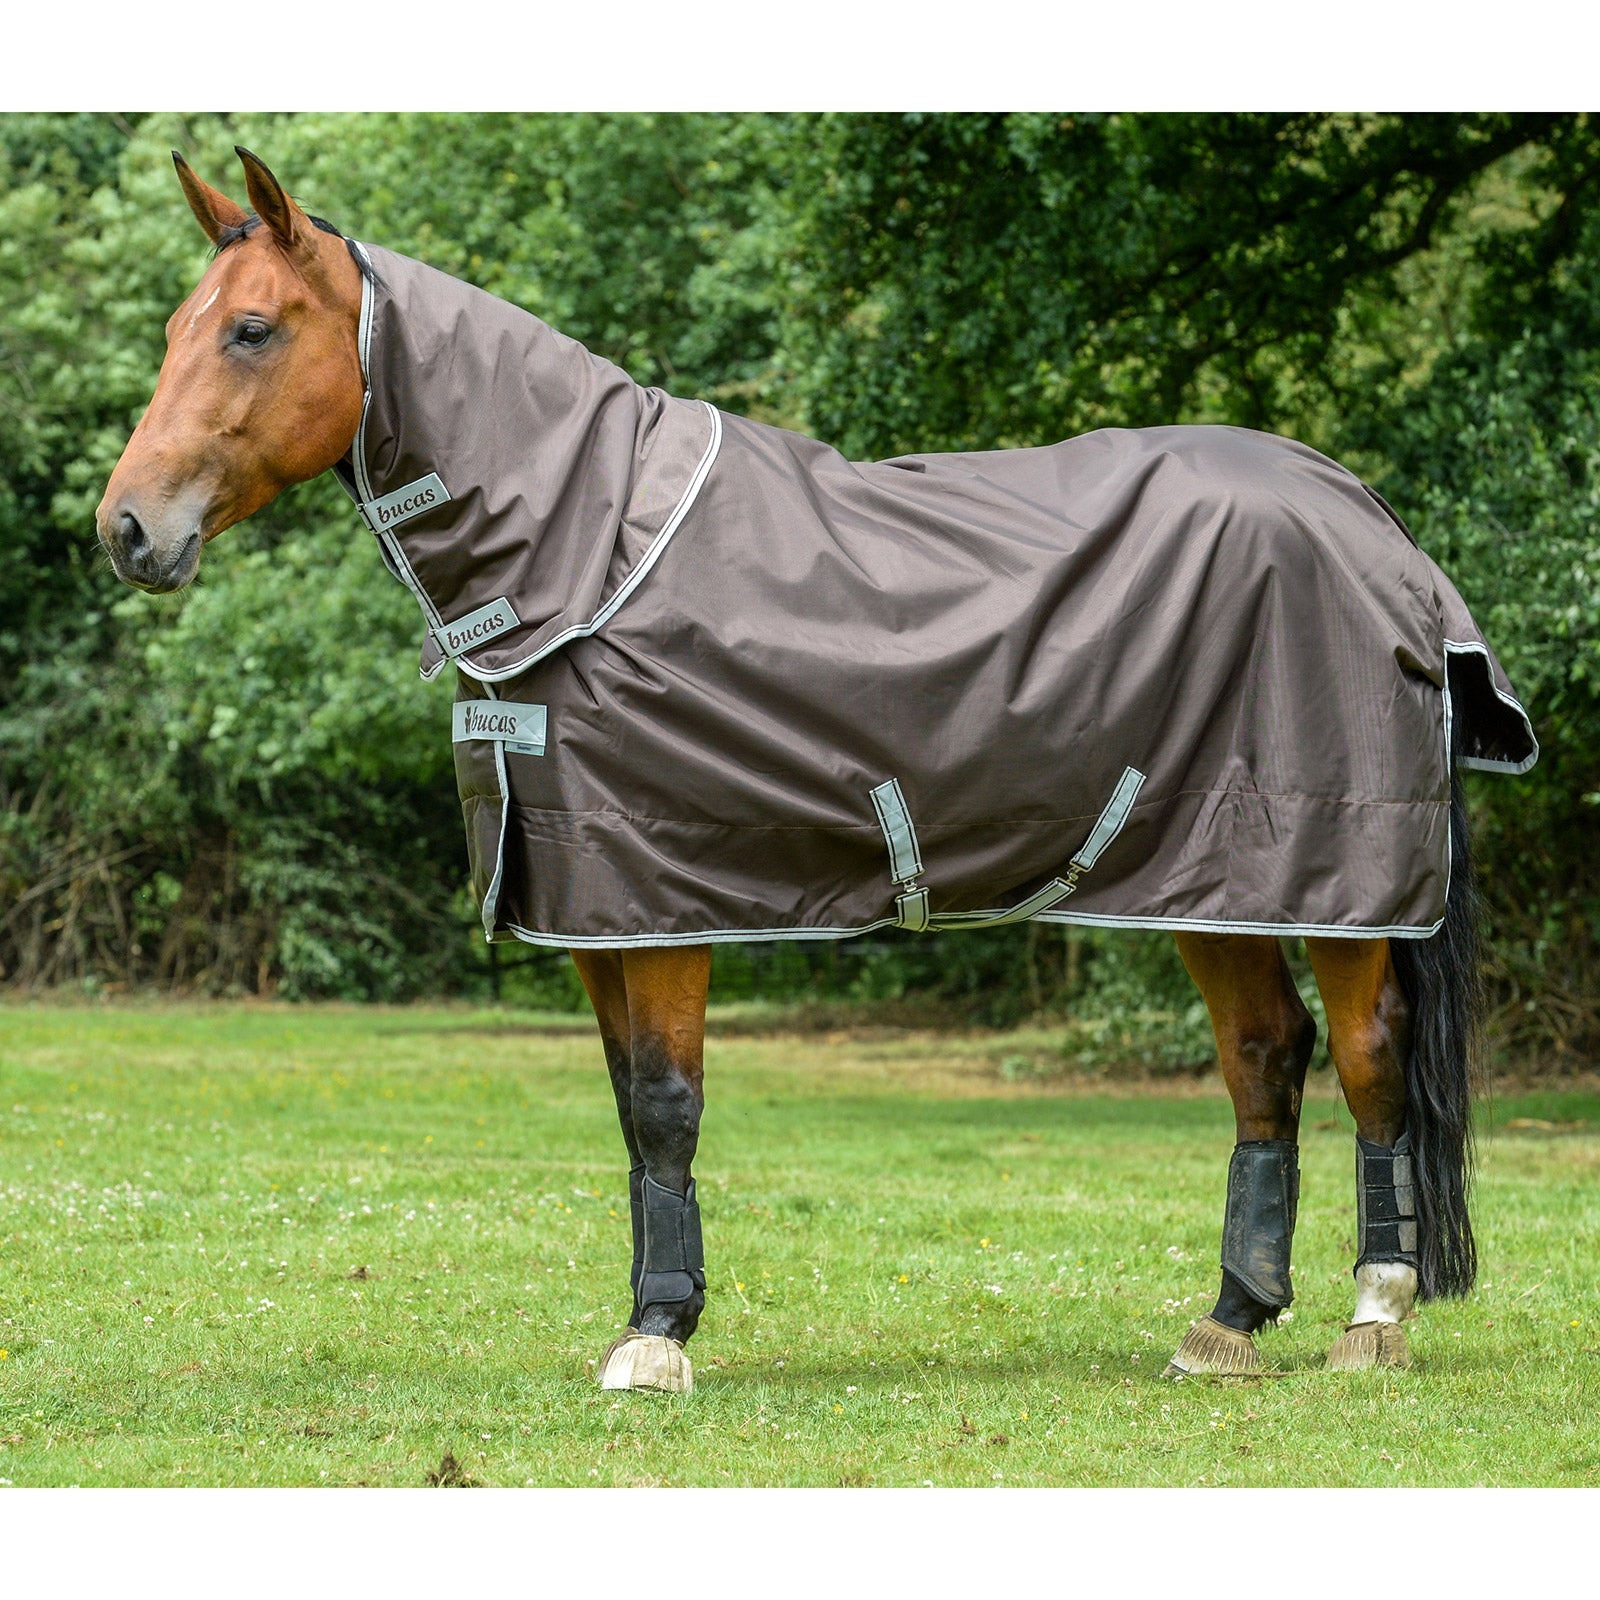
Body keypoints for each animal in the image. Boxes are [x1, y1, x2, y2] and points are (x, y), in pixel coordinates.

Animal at [97, 148, 1535, 1395]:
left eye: (251, 330)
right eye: (179, 326)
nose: (127, 529)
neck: (587, 549)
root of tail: (1376, 525)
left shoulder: (660, 895)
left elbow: (666, 1105)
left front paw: (656, 1339)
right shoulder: (590, 906)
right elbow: (626, 1111)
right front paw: (653, 1314)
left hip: (1335, 874)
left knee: (1366, 1054)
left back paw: (1372, 1318)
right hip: (1212, 868)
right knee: (1263, 1053)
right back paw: (1228, 1320)